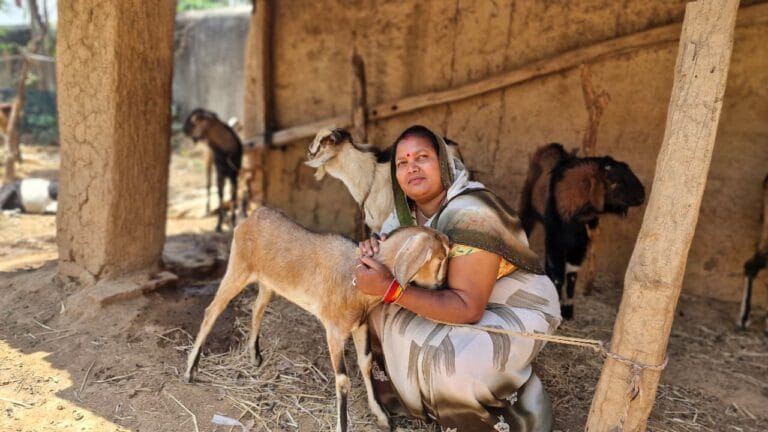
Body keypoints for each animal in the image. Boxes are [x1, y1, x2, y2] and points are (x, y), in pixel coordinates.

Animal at [185, 205, 450, 432]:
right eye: (439, 259)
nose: (442, 286)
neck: (354, 276)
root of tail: (252, 217)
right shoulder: (334, 331)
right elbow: (343, 380)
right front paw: (342, 426)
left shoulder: (359, 325)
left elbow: (365, 363)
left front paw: (382, 417)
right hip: (238, 268)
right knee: (213, 310)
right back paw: (190, 371)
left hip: (268, 282)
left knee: (257, 308)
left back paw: (254, 356)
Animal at [519, 143, 645, 319]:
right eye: (617, 181)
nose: (643, 195)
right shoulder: (555, 238)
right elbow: (558, 274)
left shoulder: (580, 242)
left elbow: (571, 274)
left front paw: (567, 310)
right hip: (527, 208)